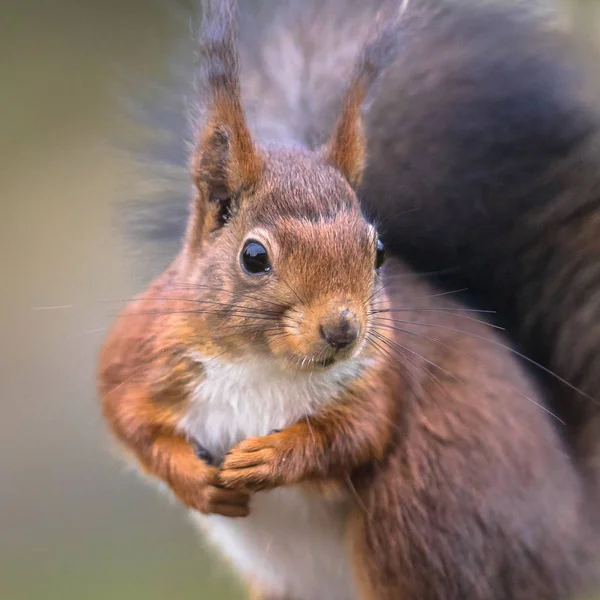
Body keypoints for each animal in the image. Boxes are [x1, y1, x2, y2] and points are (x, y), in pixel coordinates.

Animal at [99, 1, 600, 600]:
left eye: (378, 249)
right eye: (253, 256)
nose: (342, 330)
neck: (264, 364)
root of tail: (575, 537)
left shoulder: (380, 377)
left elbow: (358, 432)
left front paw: (272, 455)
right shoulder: (142, 349)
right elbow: (126, 416)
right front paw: (194, 480)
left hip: (423, 509)